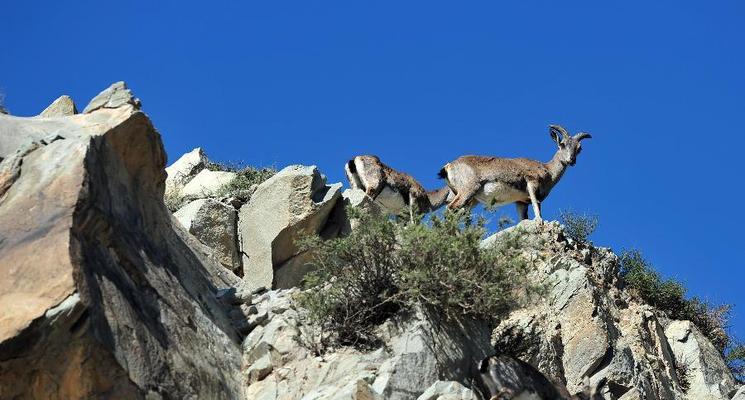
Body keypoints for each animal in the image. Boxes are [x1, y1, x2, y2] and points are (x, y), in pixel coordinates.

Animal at [438, 126, 588, 222]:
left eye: (579, 149)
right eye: (562, 144)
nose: (571, 160)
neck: (548, 170)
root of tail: (449, 166)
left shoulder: (521, 202)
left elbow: (523, 218)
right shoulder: (531, 183)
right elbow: (536, 204)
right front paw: (539, 221)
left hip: (470, 200)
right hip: (467, 190)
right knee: (450, 209)